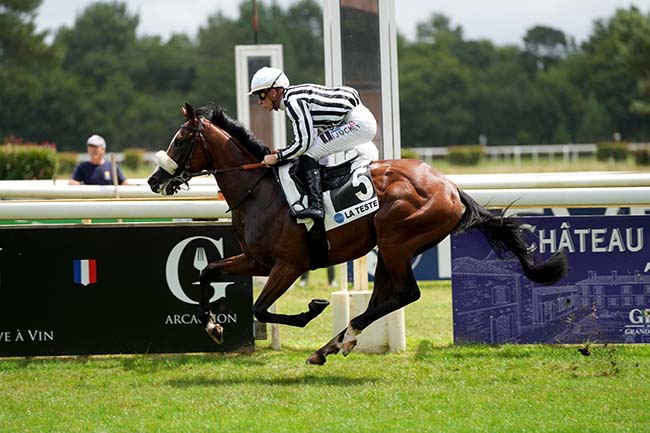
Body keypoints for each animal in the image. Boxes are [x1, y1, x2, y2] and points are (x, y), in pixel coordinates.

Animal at [148, 103, 568, 362]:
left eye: (181, 139)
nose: (154, 181)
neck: (260, 190)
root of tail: (449, 187)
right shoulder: (257, 260)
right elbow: (208, 272)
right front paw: (212, 326)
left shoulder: (289, 264)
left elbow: (260, 308)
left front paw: (313, 308)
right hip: (389, 247)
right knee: (385, 297)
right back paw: (334, 344)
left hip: (397, 239)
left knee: (406, 293)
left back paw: (340, 338)